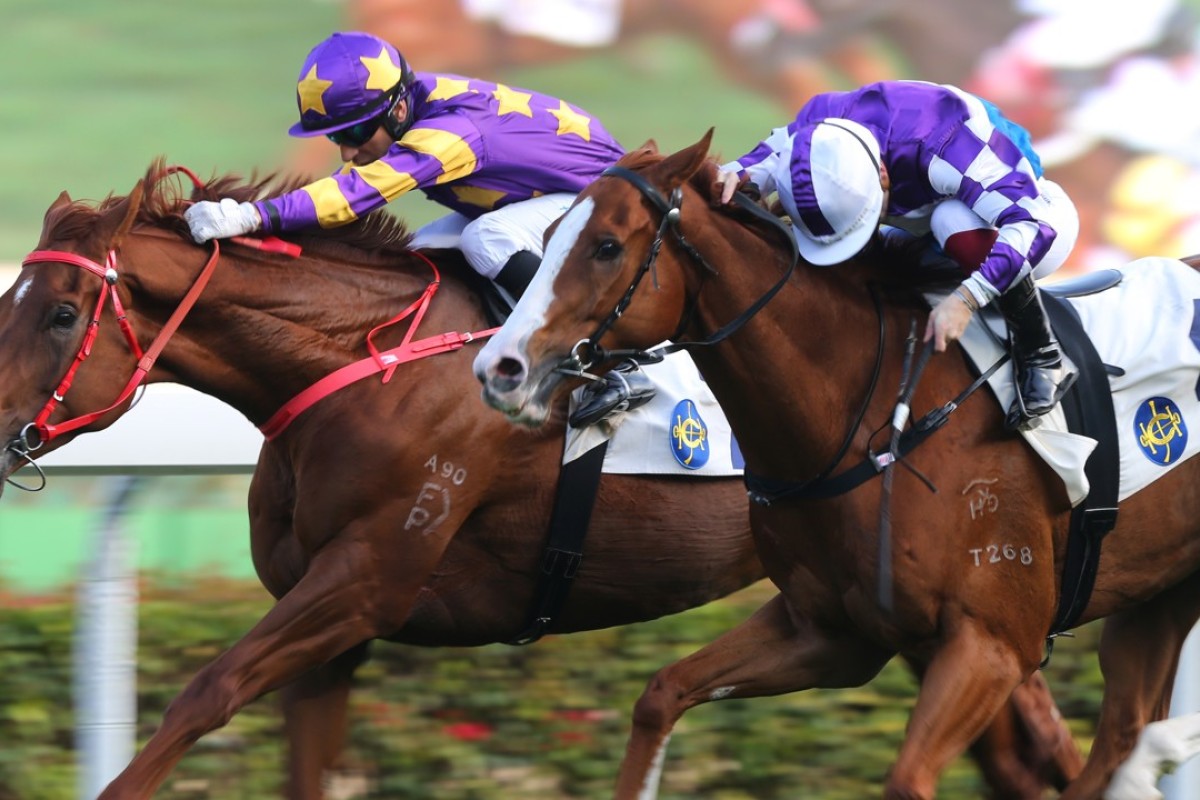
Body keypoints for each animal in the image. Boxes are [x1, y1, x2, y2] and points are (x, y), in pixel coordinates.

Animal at [0, 159, 1080, 796]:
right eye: (17, 297)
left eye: (60, 313)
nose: (1, 428)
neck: (366, 364)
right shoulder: (331, 633)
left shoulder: (363, 581)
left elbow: (205, 692)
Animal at [472, 133, 1200, 800]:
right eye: (548, 233)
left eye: (606, 247)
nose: (499, 368)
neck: (867, 416)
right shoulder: (828, 633)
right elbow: (661, 694)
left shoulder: (993, 642)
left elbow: (907, 780)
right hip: (1156, 598)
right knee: (1123, 732)